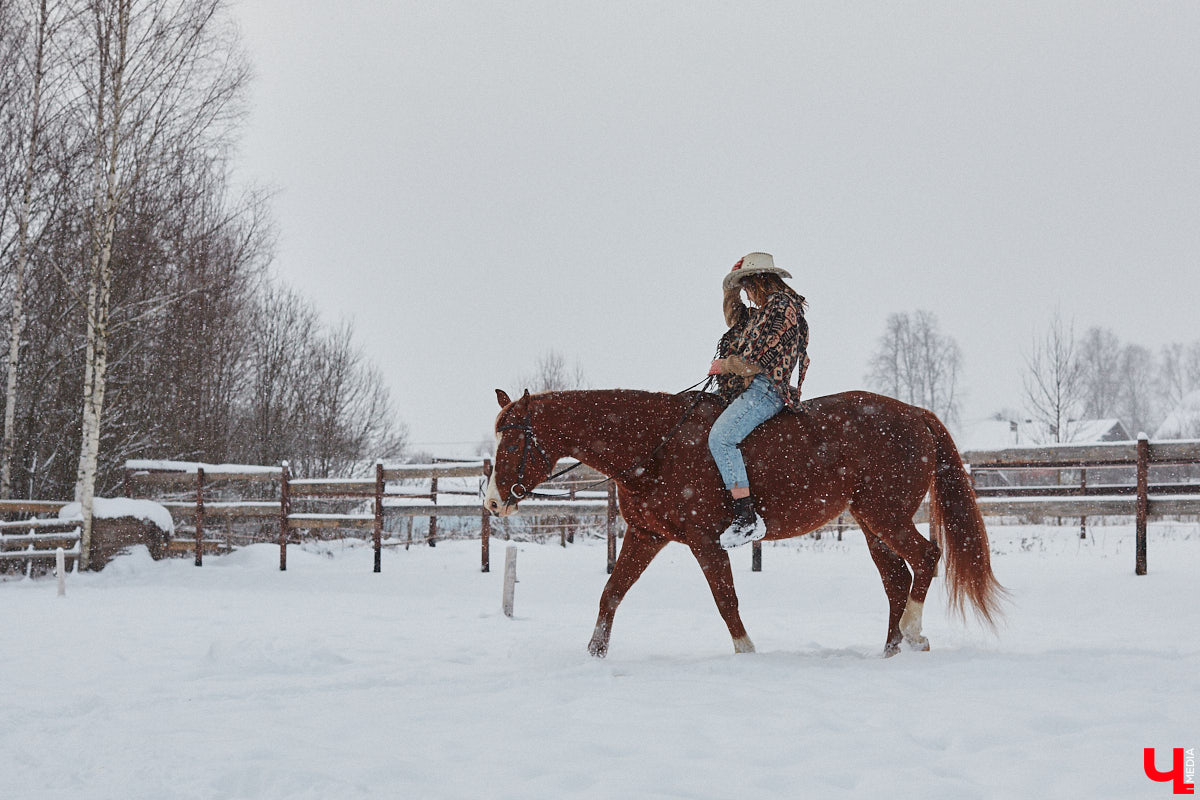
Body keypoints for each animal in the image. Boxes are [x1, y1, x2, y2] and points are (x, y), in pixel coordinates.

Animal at [480, 388, 1003, 657]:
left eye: (513, 441)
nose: (492, 503)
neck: (655, 443)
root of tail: (914, 413)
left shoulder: (704, 541)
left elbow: (726, 600)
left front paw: (747, 653)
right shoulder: (646, 535)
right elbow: (612, 592)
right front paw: (594, 655)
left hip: (886, 516)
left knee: (927, 557)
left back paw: (914, 634)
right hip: (871, 523)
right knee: (896, 577)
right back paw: (892, 649)